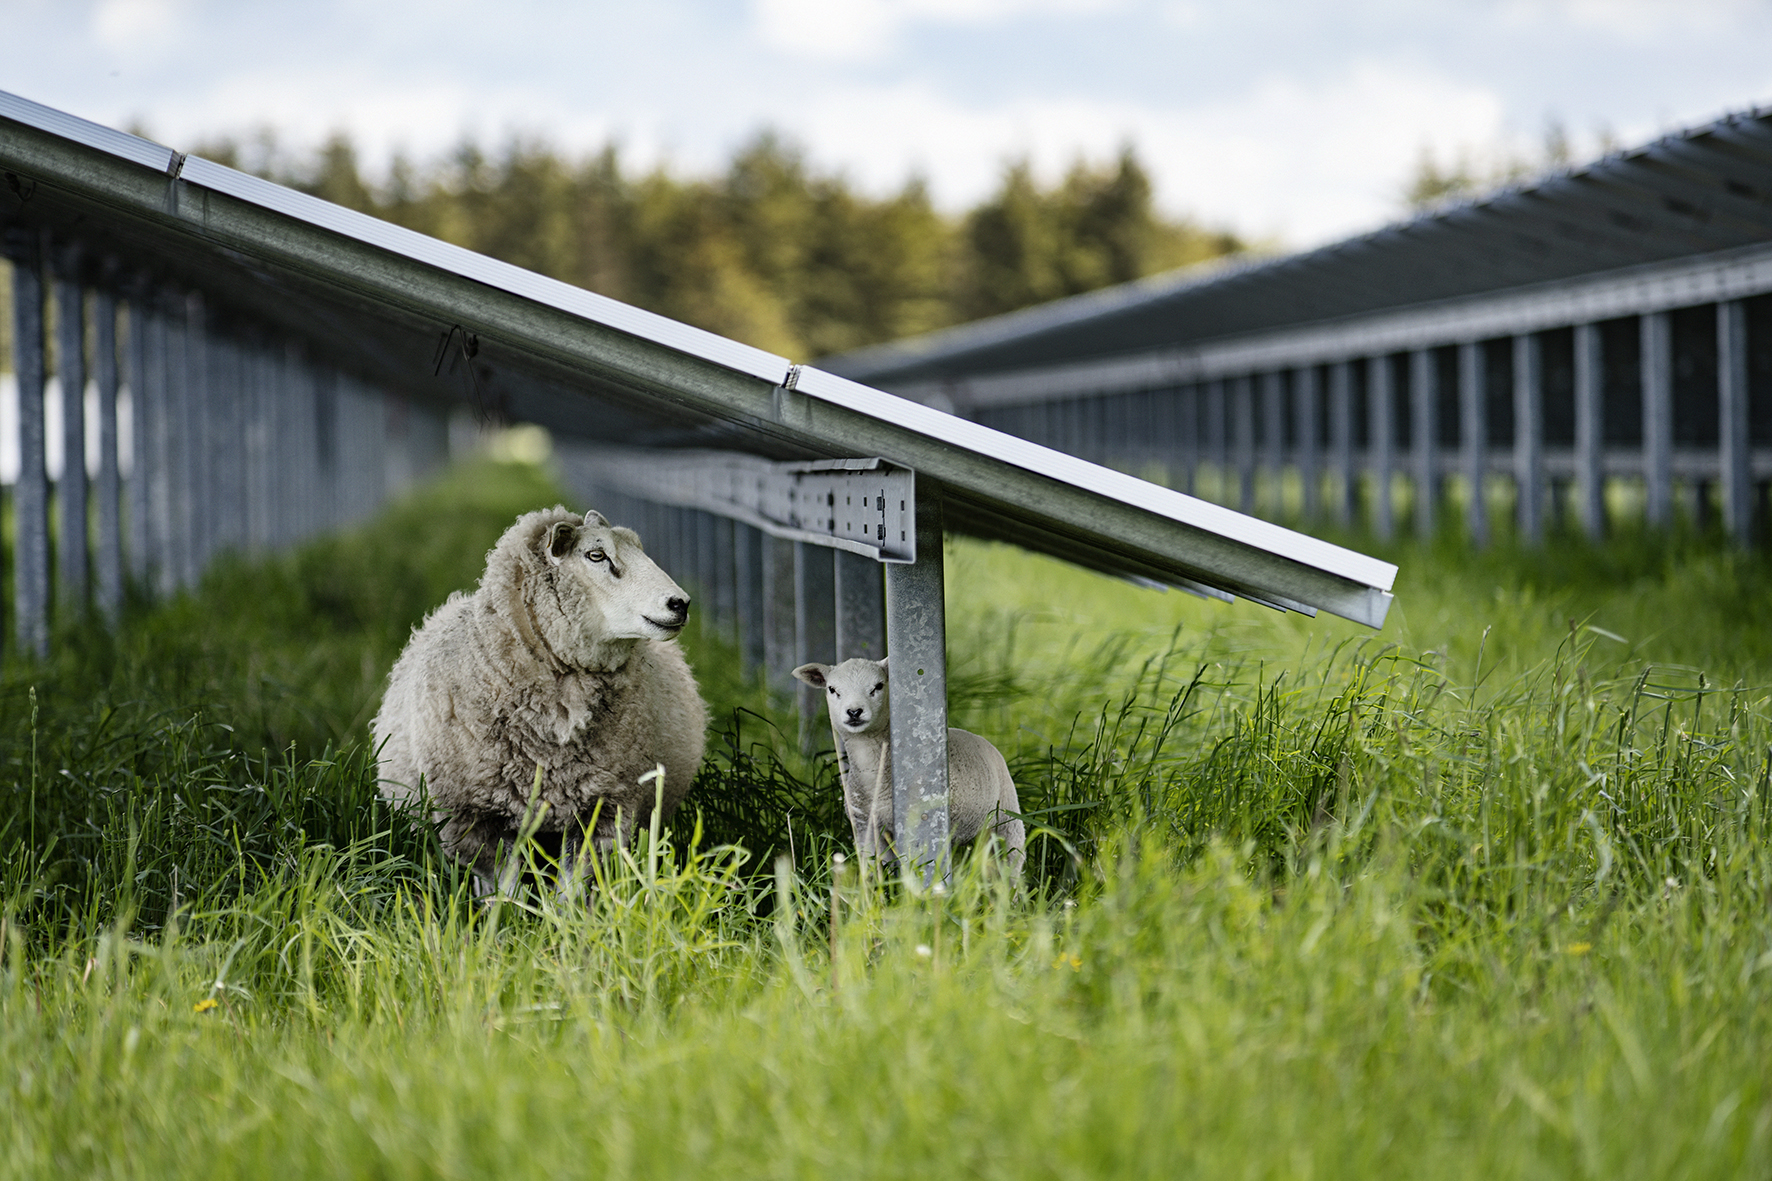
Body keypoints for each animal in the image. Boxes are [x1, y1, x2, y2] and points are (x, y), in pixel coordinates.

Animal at [373, 500, 705, 886]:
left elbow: (576, 888)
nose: (680, 603)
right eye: (596, 555)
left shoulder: (603, 809)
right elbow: (502, 888)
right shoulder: (473, 819)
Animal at [793, 656, 1027, 879]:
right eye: (832, 689)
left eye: (878, 686)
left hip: (1007, 819)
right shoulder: (865, 826)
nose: (854, 711)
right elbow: (873, 869)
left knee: (1012, 861)